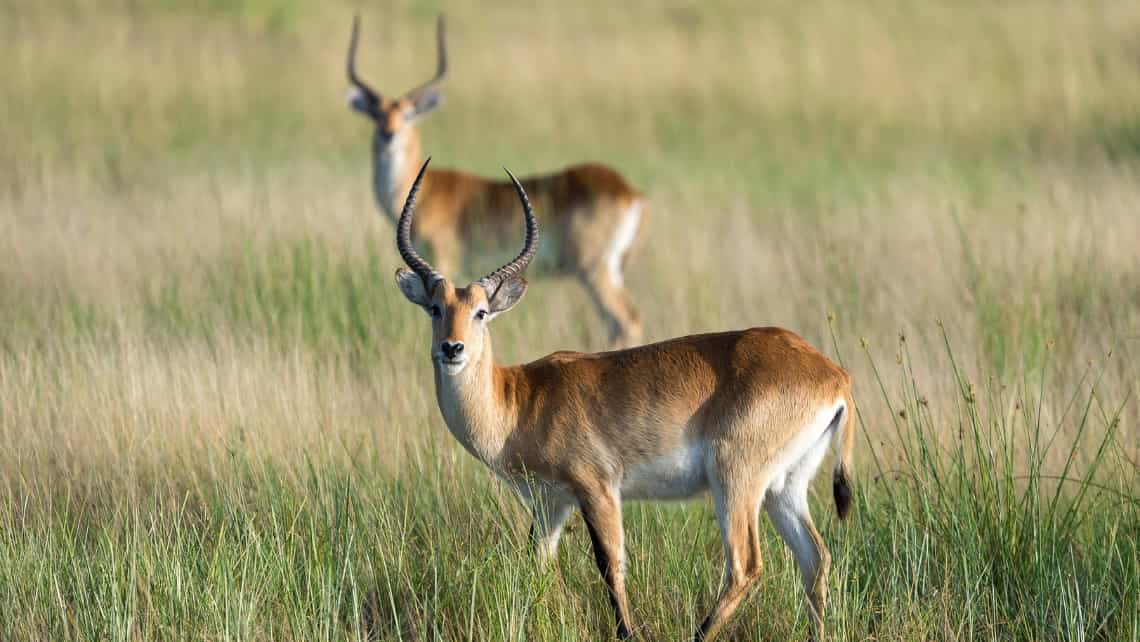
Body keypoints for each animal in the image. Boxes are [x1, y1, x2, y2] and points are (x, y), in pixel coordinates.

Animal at [346, 16, 647, 346]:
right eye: (375, 114)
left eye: (409, 114)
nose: (389, 135)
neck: (425, 190)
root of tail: (629, 191)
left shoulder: (445, 257)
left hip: (594, 269)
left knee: (627, 319)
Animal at [392, 158, 857, 638]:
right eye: (435, 308)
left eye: (481, 312)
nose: (452, 348)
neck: (521, 399)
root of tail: (833, 374)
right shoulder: (550, 503)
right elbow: (537, 565)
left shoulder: (597, 488)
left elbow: (610, 564)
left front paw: (628, 632)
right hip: (785, 487)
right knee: (815, 558)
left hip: (736, 480)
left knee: (745, 566)